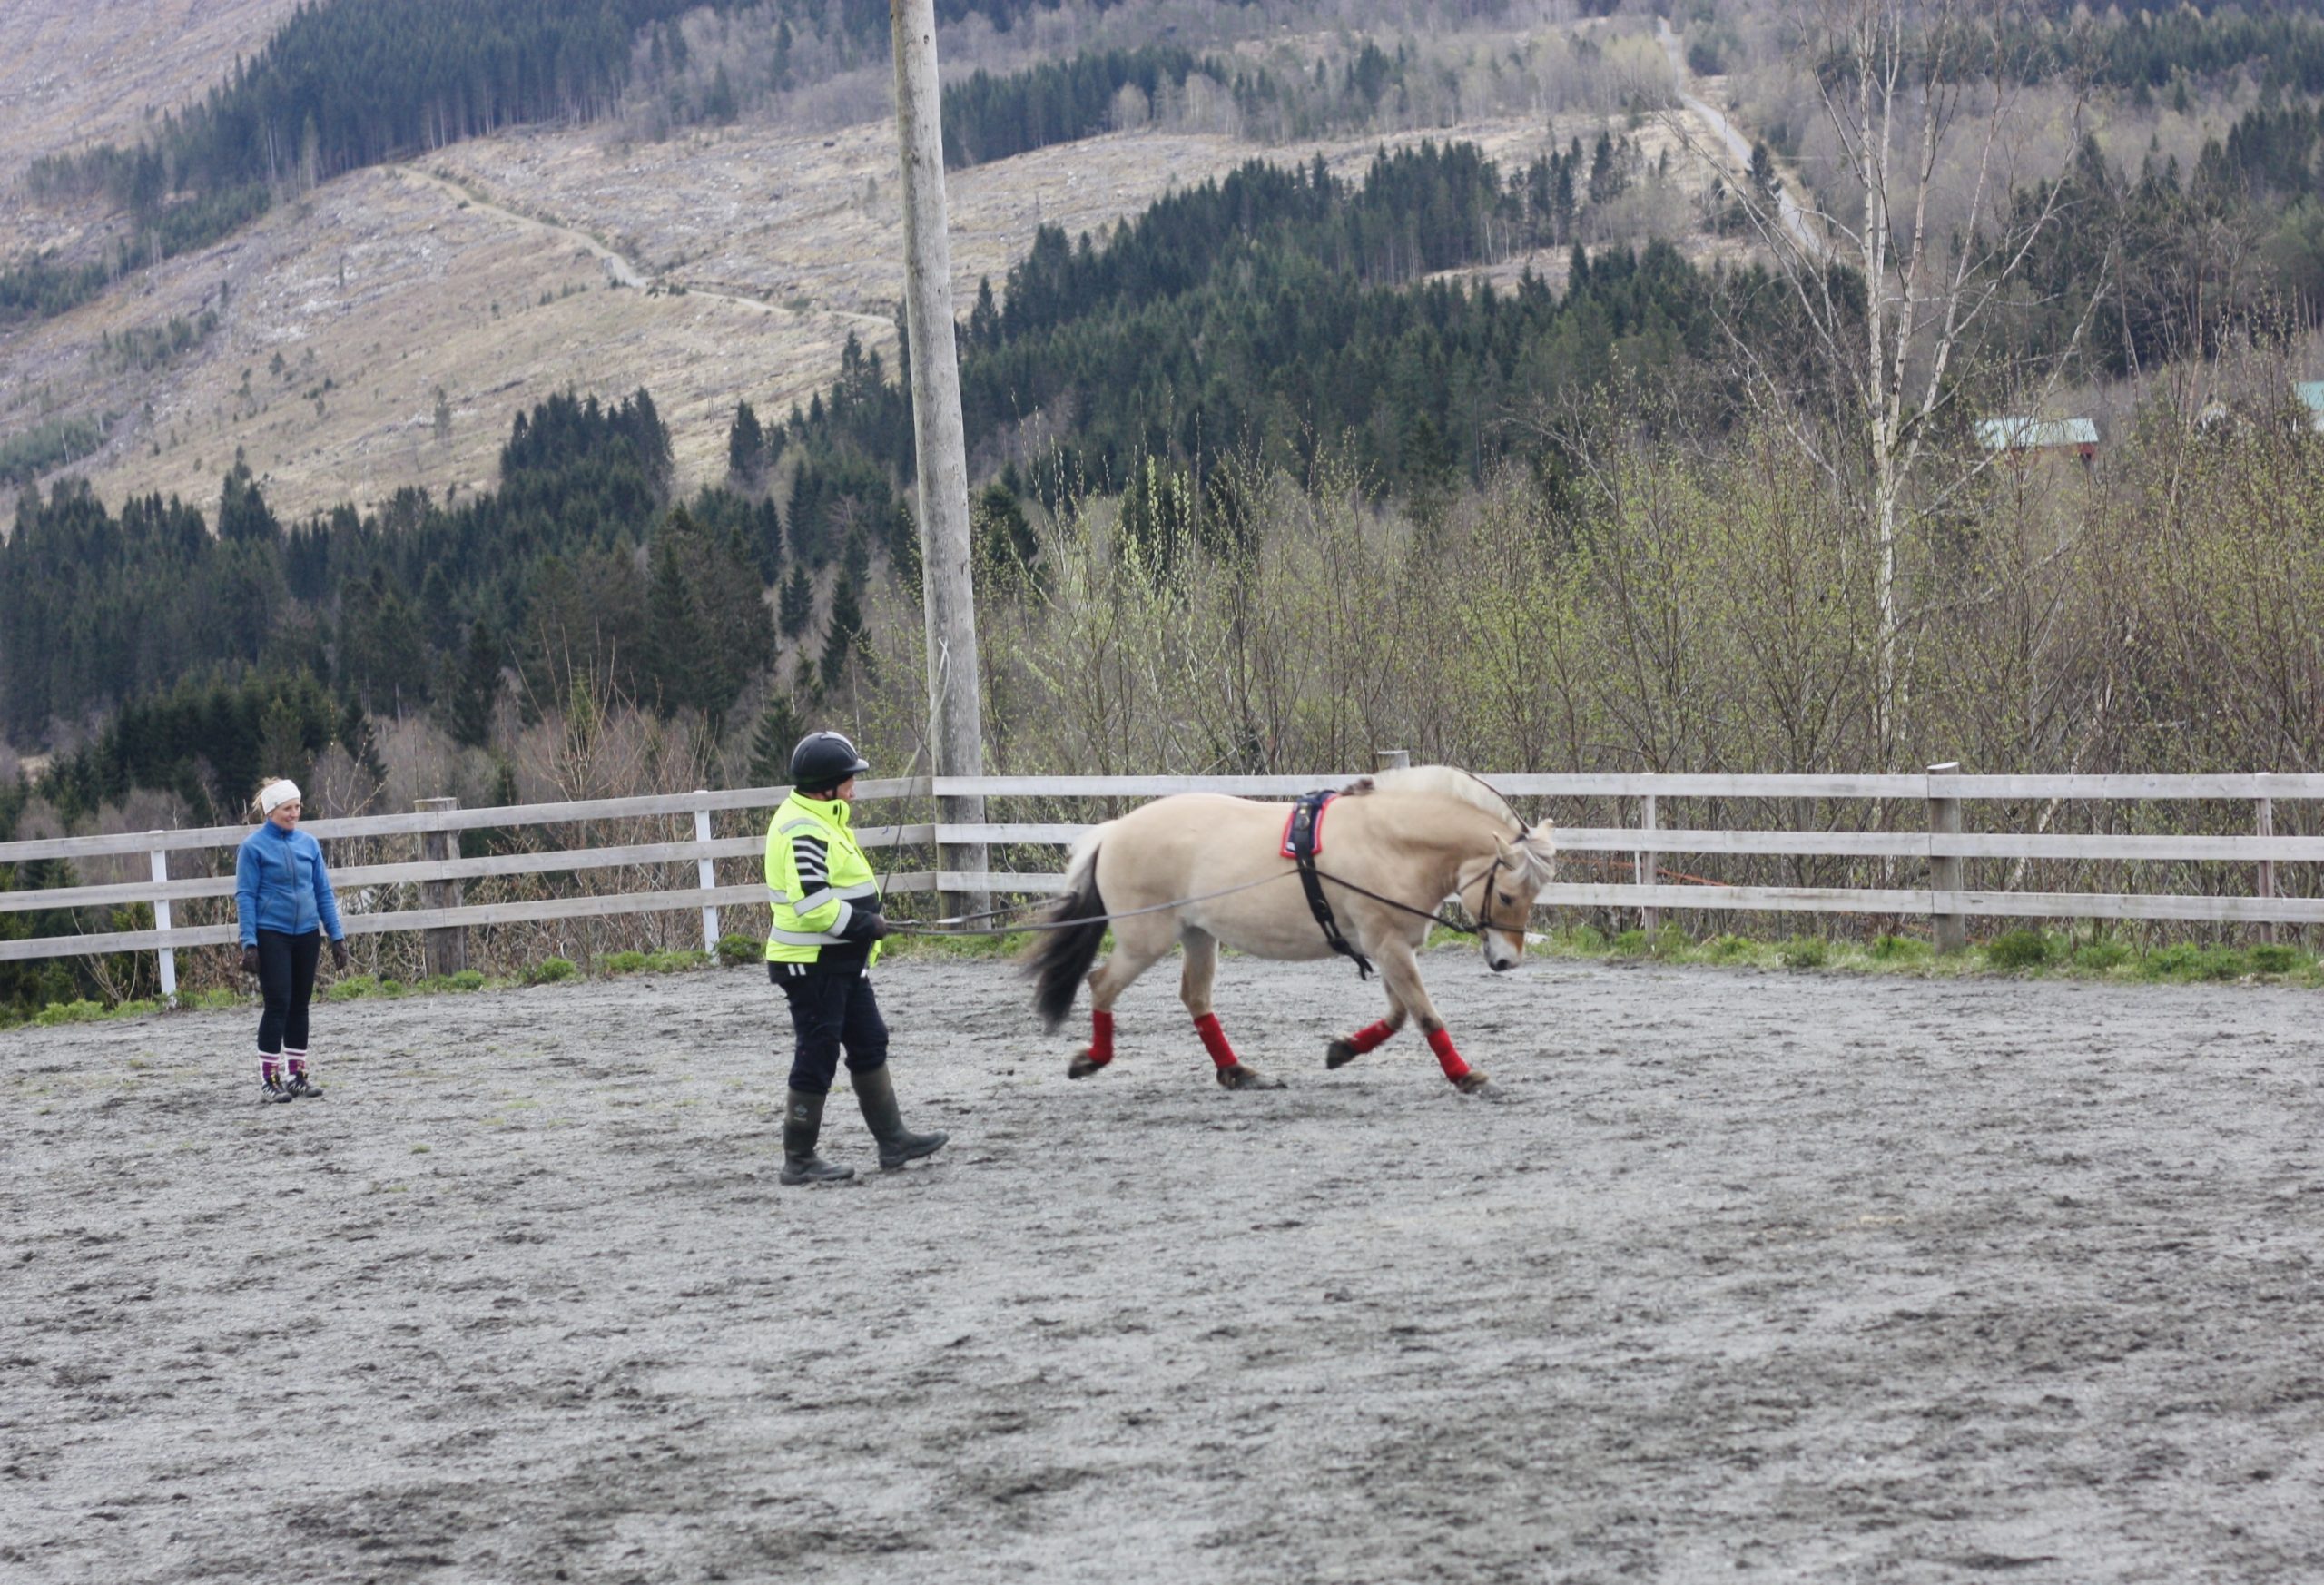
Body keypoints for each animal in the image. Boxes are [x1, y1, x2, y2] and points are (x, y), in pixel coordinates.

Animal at [1022, 762, 1552, 1088]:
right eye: (1507, 895)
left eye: (1533, 895)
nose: (1506, 961)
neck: (1390, 843)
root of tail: (1114, 832)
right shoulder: (1388, 947)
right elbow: (1425, 1016)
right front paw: (1466, 1076)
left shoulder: (1388, 948)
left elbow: (1399, 1015)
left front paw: (1342, 1050)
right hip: (1145, 940)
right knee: (1102, 984)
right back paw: (1092, 1059)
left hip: (1198, 936)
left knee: (1196, 999)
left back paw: (1238, 1072)